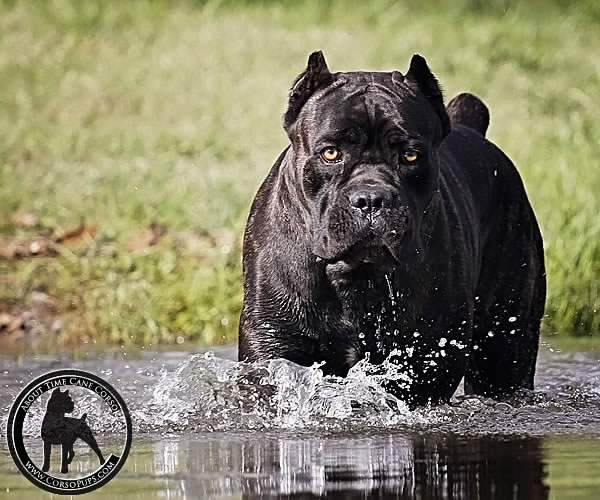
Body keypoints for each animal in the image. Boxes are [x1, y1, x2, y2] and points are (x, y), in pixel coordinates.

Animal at [237, 52, 548, 406]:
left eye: (410, 156)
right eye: (330, 153)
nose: (371, 198)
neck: (357, 278)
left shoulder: (425, 362)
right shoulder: (276, 344)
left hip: (505, 348)